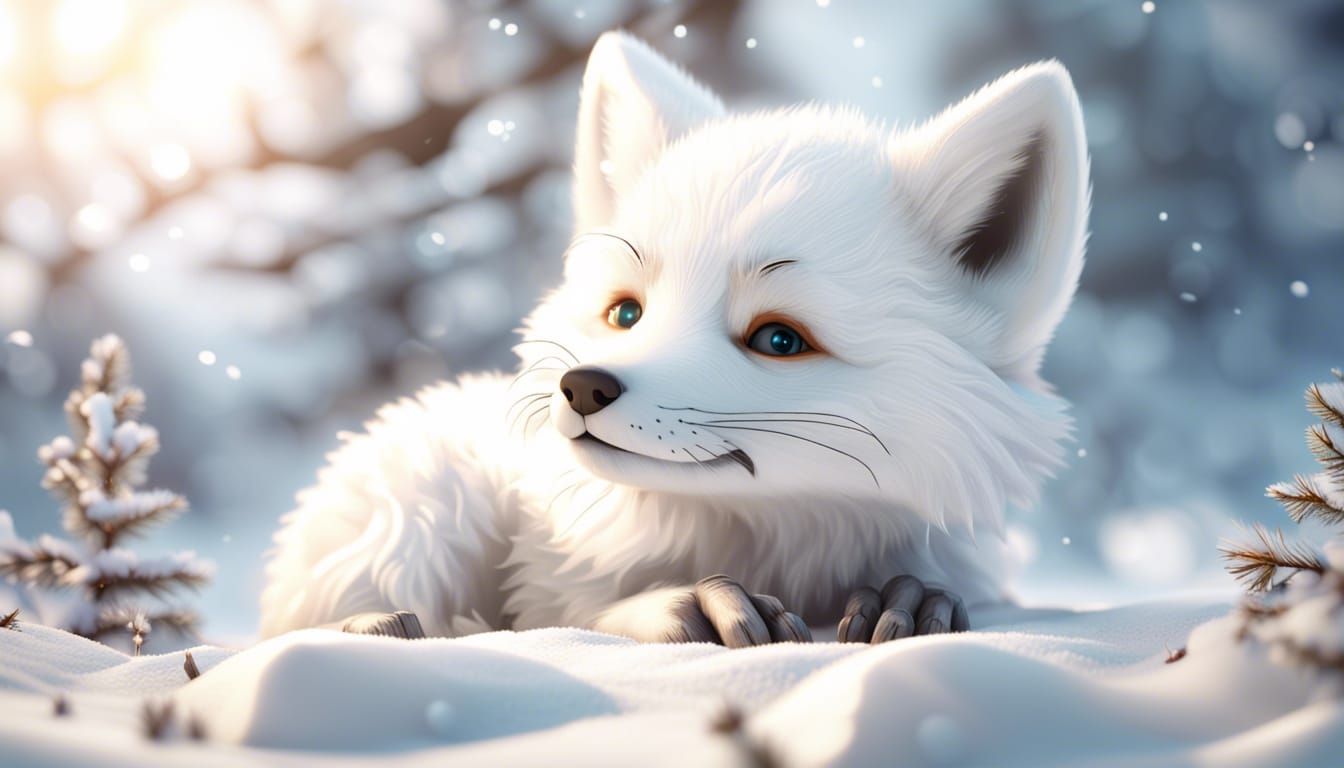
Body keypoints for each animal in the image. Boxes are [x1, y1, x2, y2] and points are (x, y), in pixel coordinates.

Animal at [259, 31, 1089, 646]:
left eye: (779, 339)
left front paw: (911, 603)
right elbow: (557, 617)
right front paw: (680, 604)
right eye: (628, 313)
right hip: (424, 507)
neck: (782, 551)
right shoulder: (547, 580)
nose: (581, 386)